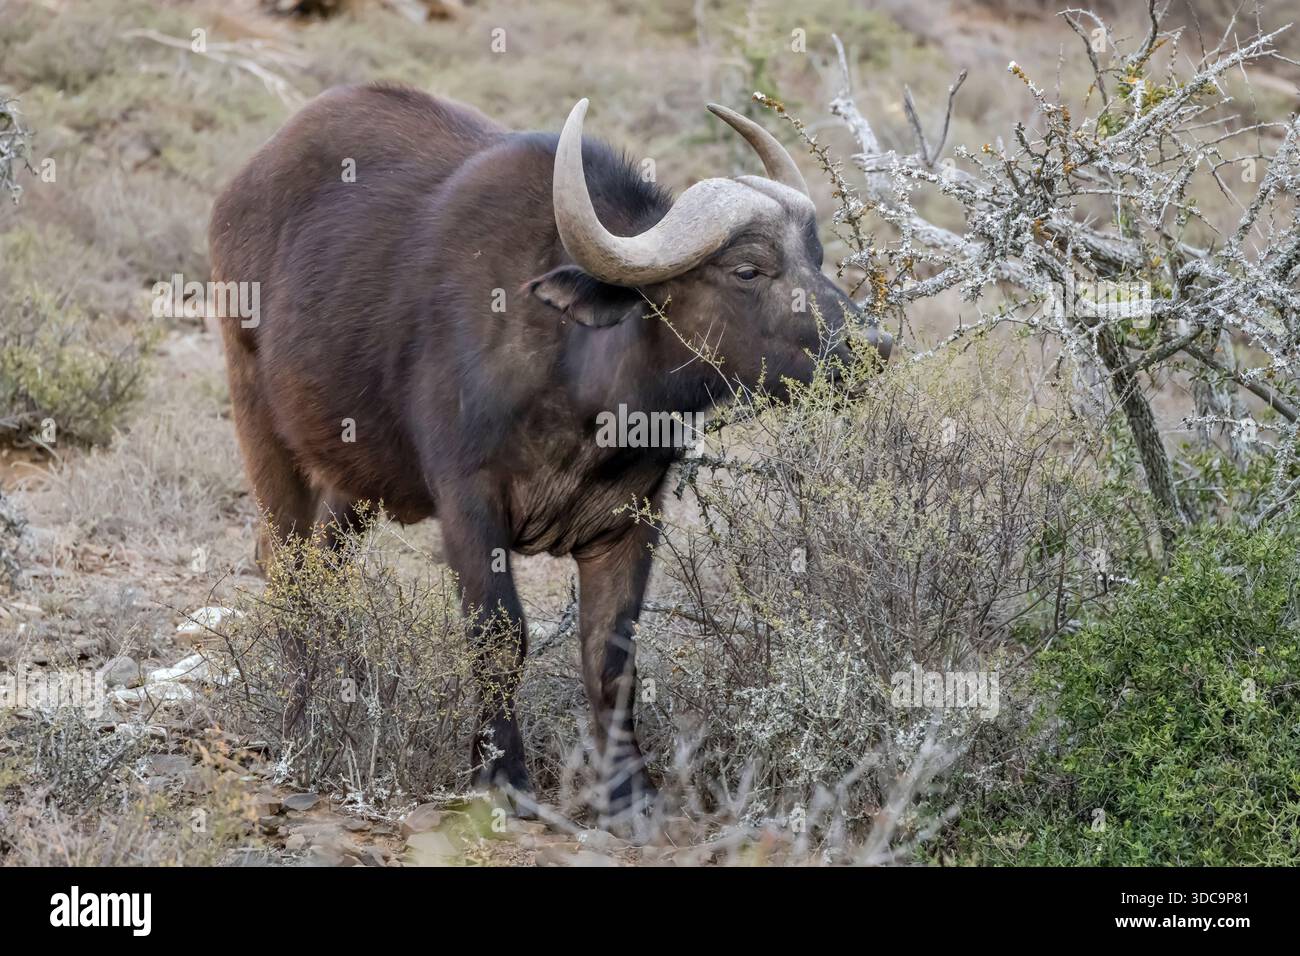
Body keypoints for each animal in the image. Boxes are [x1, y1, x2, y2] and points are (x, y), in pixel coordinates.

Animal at [209, 84, 891, 816]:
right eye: (748, 269)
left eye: (816, 259)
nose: (875, 346)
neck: (579, 389)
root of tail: (243, 185)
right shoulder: (469, 505)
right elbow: (499, 634)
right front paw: (501, 775)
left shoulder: (630, 521)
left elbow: (612, 654)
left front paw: (629, 792)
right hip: (258, 419)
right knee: (286, 567)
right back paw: (298, 722)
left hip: (354, 475)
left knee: (326, 567)